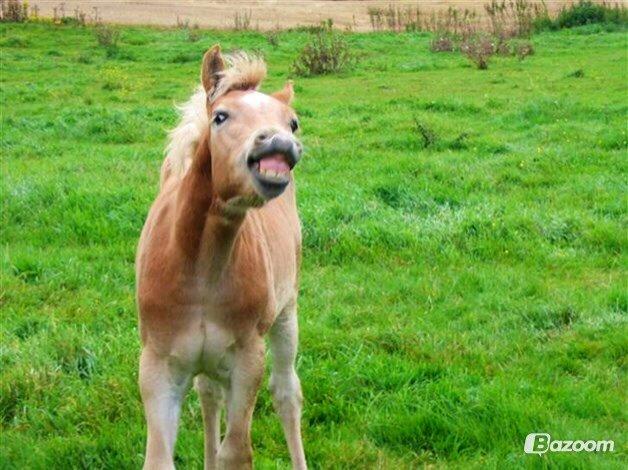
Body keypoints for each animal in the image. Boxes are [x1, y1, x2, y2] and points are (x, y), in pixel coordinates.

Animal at [135, 45, 306, 470]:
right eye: (221, 116)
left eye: (293, 123)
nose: (277, 144)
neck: (200, 267)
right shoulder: (157, 365)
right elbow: (160, 458)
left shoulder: (247, 358)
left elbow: (237, 451)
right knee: (209, 396)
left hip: (285, 315)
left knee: (286, 394)